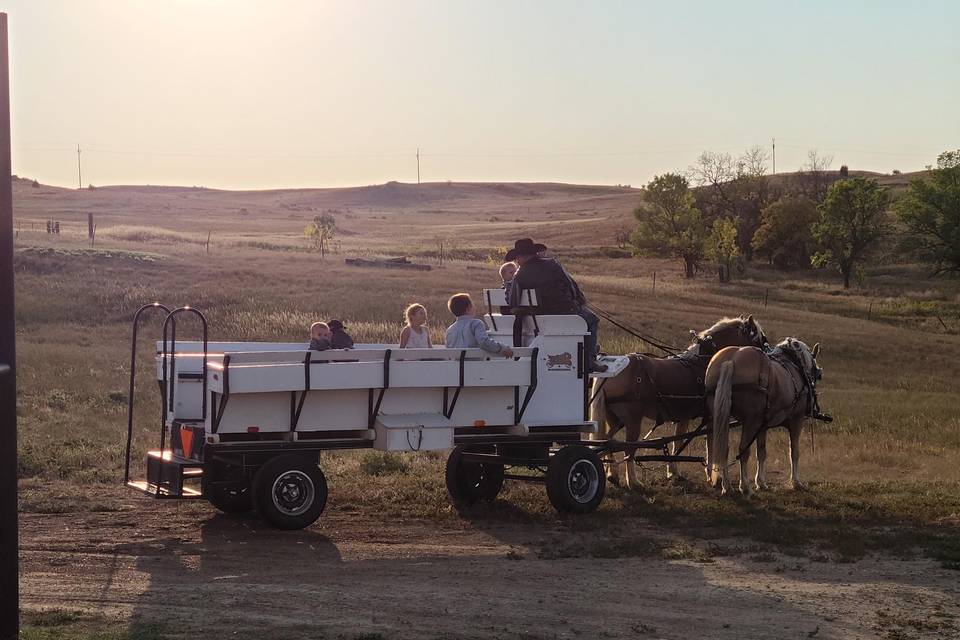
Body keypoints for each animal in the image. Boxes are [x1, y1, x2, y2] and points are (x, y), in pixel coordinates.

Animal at [588, 316, 768, 490]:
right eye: (759, 338)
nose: (766, 356)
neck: (703, 362)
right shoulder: (711, 415)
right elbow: (710, 444)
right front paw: (713, 476)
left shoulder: (684, 416)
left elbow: (677, 442)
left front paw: (673, 471)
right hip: (632, 420)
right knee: (628, 449)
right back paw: (633, 482)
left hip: (615, 419)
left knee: (608, 441)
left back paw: (613, 473)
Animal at [704, 338, 824, 498]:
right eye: (818, 373)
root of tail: (730, 362)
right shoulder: (796, 421)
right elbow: (794, 452)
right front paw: (796, 482)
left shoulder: (762, 426)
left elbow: (761, 452)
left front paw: (761, 482)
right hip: (750, 421)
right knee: (743, 451)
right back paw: (744, 486)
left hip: (718, 415)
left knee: (723, 447)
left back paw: (727, 486)